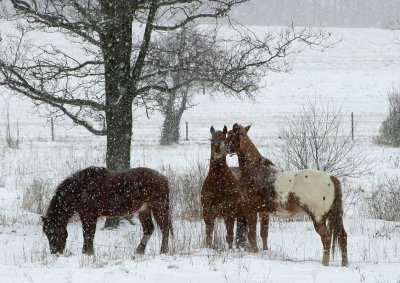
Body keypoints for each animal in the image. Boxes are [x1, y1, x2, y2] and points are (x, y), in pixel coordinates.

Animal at [41, 168, 171, 256]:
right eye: (46, 233)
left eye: (53, 232)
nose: (54, 252)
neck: (81, 189)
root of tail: (164, 178)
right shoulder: (84, 215)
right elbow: (86, 233)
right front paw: (86, 252)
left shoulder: (90, 215)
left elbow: (89, 234)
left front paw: (89, 253)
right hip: (144, 211)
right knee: (149, 229)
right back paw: (139, 251)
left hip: (158, 208)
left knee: (165, 229)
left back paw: (163, 251)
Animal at [223, 123, 348, 266]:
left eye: (230, 134)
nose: (223, 147)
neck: (254, 170)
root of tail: (331, 178)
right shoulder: (263, 212)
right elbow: (263, 234)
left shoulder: (250, 210)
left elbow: (252, 235)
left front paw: (255, 253)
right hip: (335, 216)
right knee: (342, 237)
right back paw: (344, 264)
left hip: (318, 218)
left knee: (326, 238)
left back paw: (324, 264)